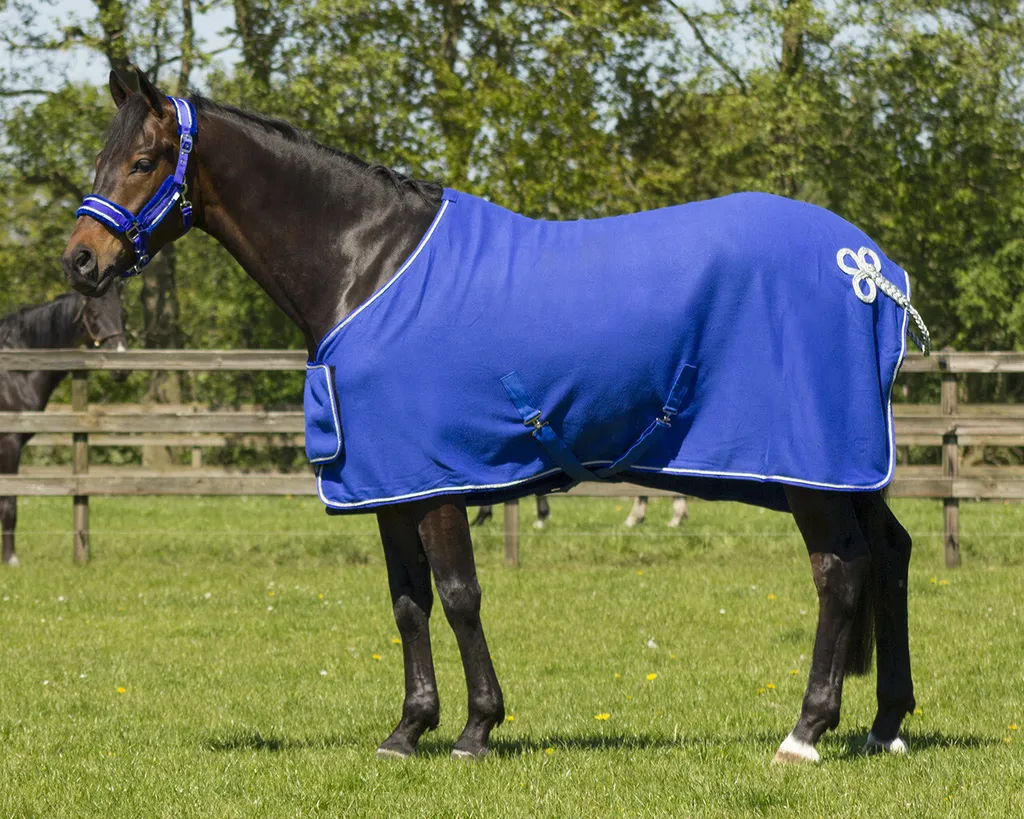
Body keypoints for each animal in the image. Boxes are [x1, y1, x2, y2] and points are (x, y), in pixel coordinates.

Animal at [0, 286, 126, 566]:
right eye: (94, 312)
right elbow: (9, 503)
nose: (122, 369)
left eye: (122, 312)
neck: (15, 372)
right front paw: (11, 559)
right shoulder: (9, 443)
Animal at [61, 69, 921, 764]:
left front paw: (477, 728)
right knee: (890, 554)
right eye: (102, 158)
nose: (80, 260)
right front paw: (408, 729)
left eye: (143, 161)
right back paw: (885, 724)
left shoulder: (439, 481)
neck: (368, 266)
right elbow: (407, 602)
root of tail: (871, 268)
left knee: (839, 572)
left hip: (811, 468)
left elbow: (457, 595)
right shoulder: (389, 484)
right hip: (845, 465)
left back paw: (806, 731)